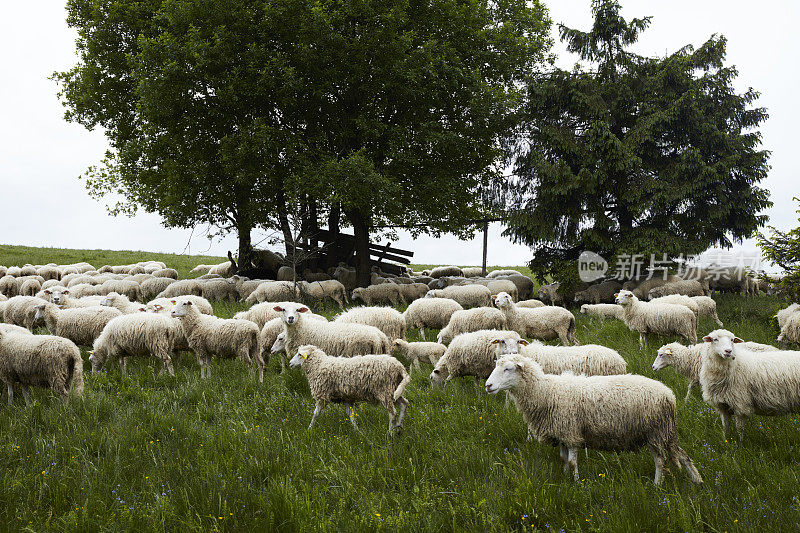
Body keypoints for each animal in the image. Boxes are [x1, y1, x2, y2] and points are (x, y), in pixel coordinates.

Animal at [482, 354, 700, 486]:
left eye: (508, 369)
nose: (488, 386)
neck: (546, 392)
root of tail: (669, 395)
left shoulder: (571, 432)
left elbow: (572, 462)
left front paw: (577, 483)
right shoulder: (562, 434)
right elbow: (563, 460)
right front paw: (564, 479)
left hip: (655, 432)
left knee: (661, 461)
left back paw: (657, 485)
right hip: (665, 432)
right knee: (682, 455)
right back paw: (697, 480)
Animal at [652, 340, 780, 400]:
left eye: (661, 355)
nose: (653, 367)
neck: (691, 357)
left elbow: (690, 388)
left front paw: (686, 401)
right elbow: (691, 388)